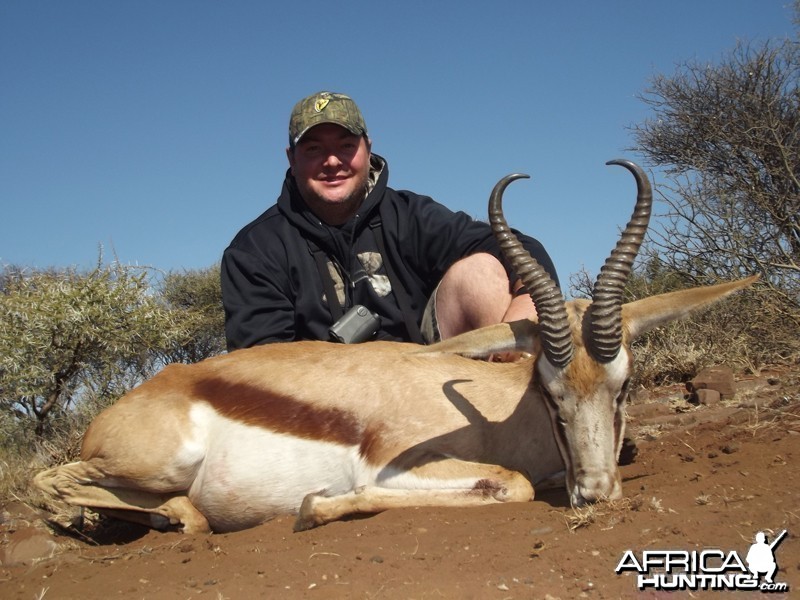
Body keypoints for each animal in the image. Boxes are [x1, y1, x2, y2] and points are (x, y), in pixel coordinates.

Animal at [32, 161, 756, 536]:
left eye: (623, 386)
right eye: (549, 392)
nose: (597, 492)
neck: (495, 413)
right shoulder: (390, 468)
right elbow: (512, 483)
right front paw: (315, 508)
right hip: (155, 463)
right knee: (48, 483)